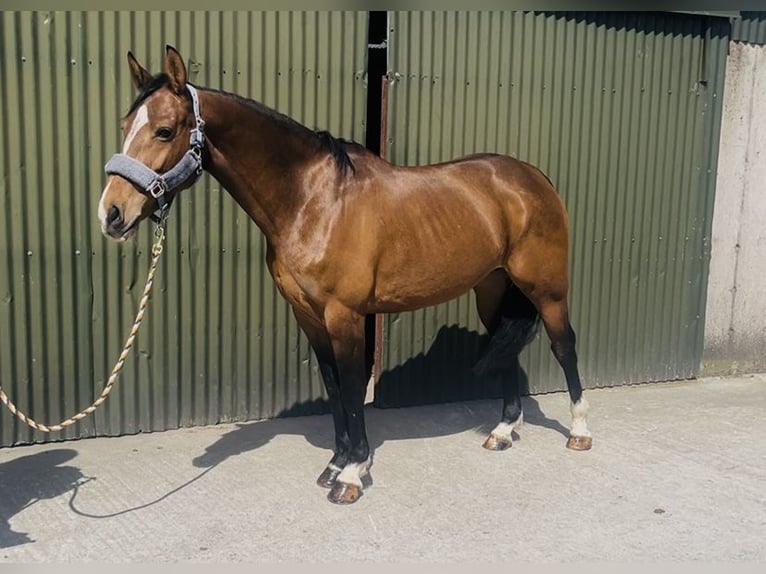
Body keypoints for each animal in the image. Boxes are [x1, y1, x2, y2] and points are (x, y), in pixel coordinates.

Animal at [98, 46, 592, 505]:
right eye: (124, 127)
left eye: (164, 130)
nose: (111, 214)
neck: (312, 200)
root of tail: (531, 178)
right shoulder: (308, 315)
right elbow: (334, 386)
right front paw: (336, 463)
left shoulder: (345, 315)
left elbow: (354, 389)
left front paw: (353, 474)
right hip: (492, 289)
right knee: (506, 348)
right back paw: (504, 431)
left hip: (546, 289)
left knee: (564, 344)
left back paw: (580, 431)